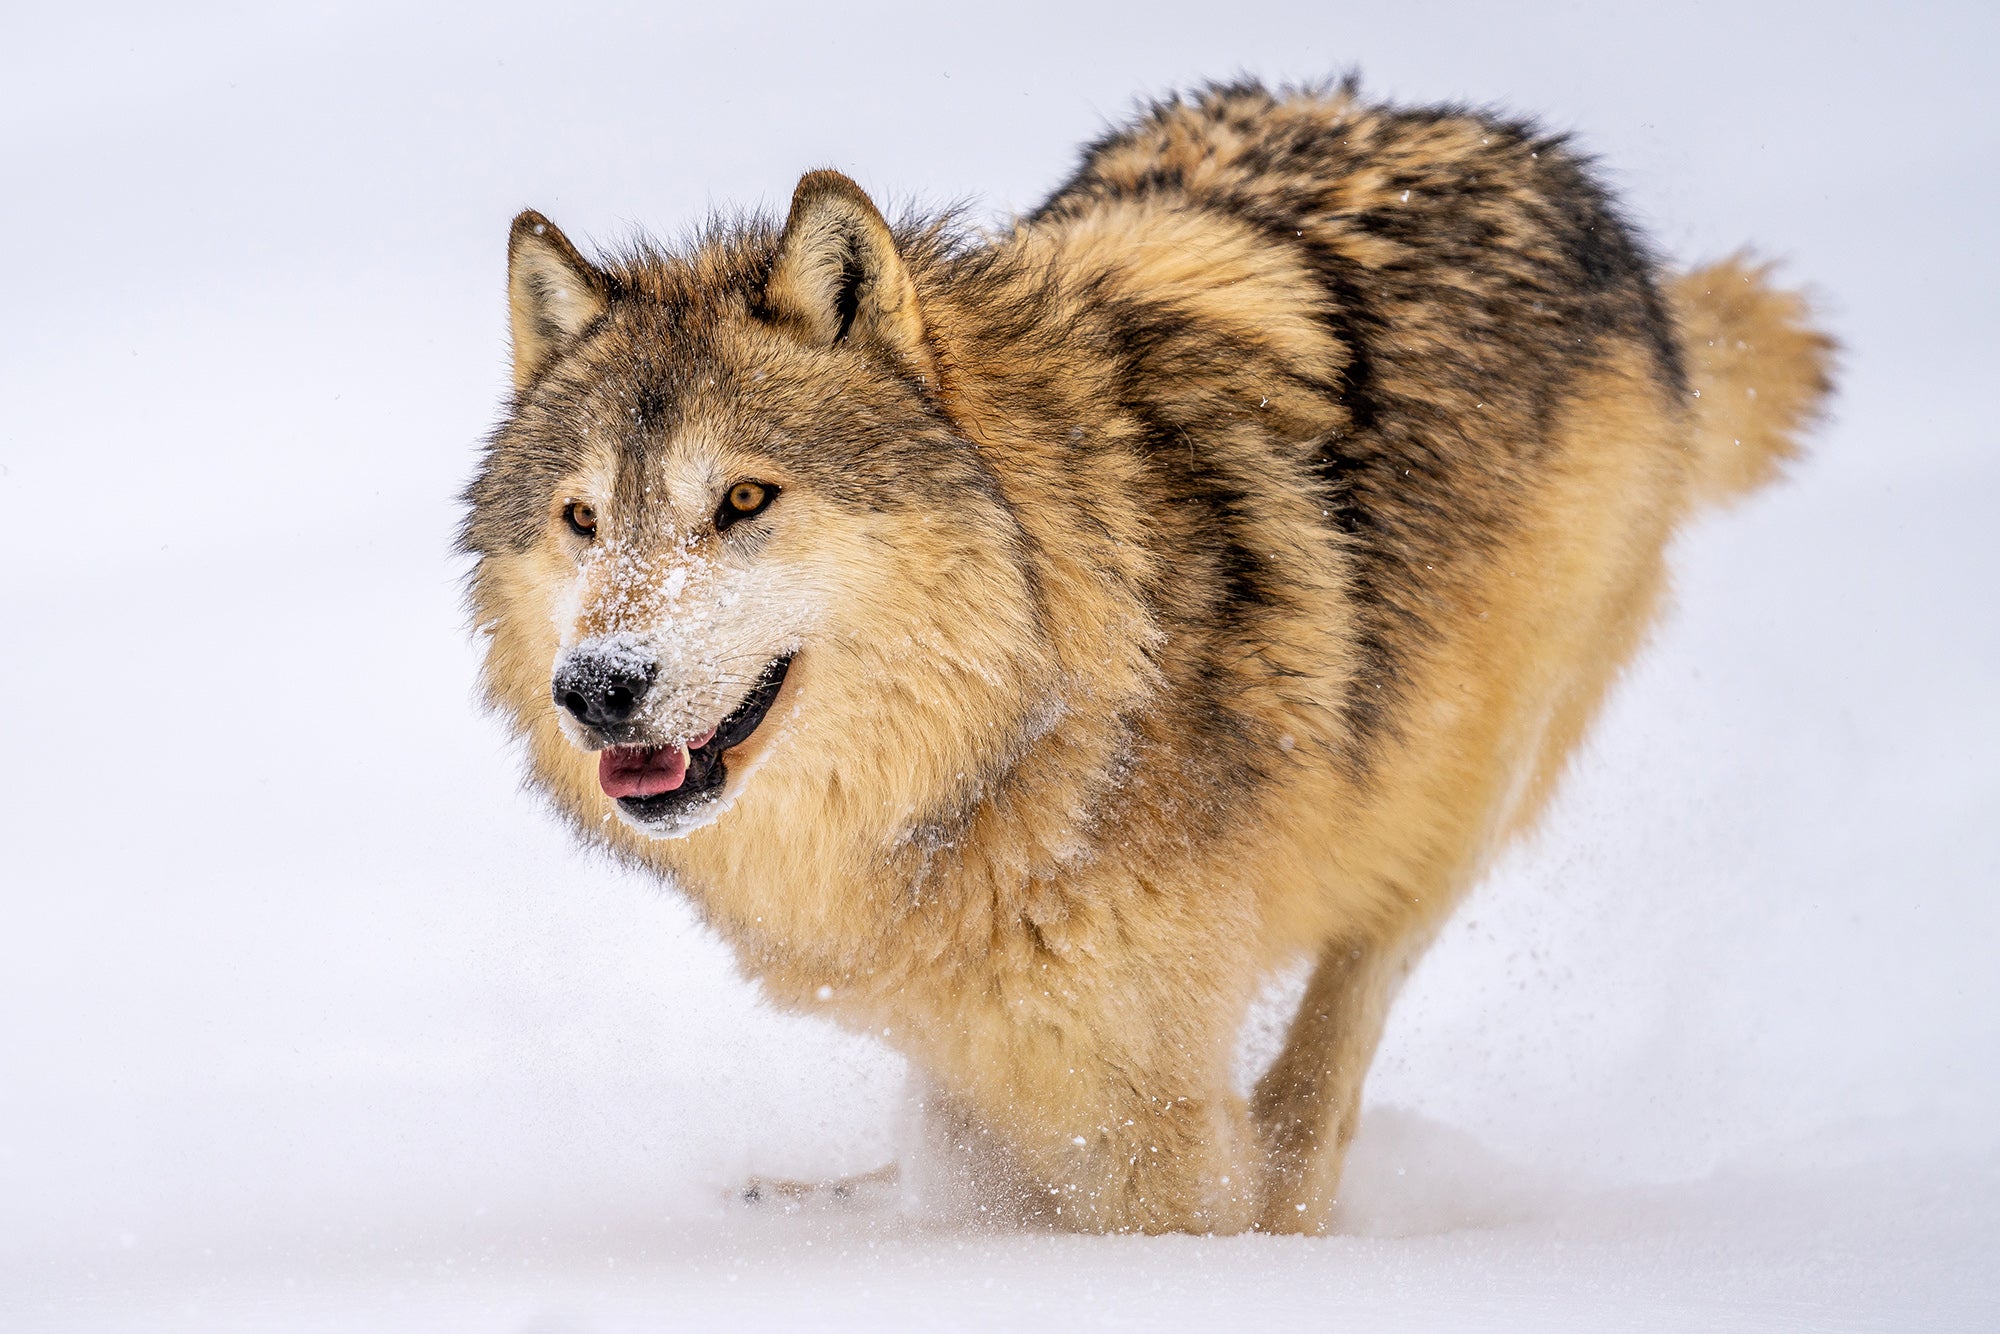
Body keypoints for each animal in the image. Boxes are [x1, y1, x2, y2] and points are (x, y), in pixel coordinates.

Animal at [460, 81, 1832, 1232]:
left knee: (1334, 1040)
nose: (594, 688)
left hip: (1457, 791)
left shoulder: (1140, 1096)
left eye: (743, 499)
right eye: (582, 518)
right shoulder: (985, 1044)